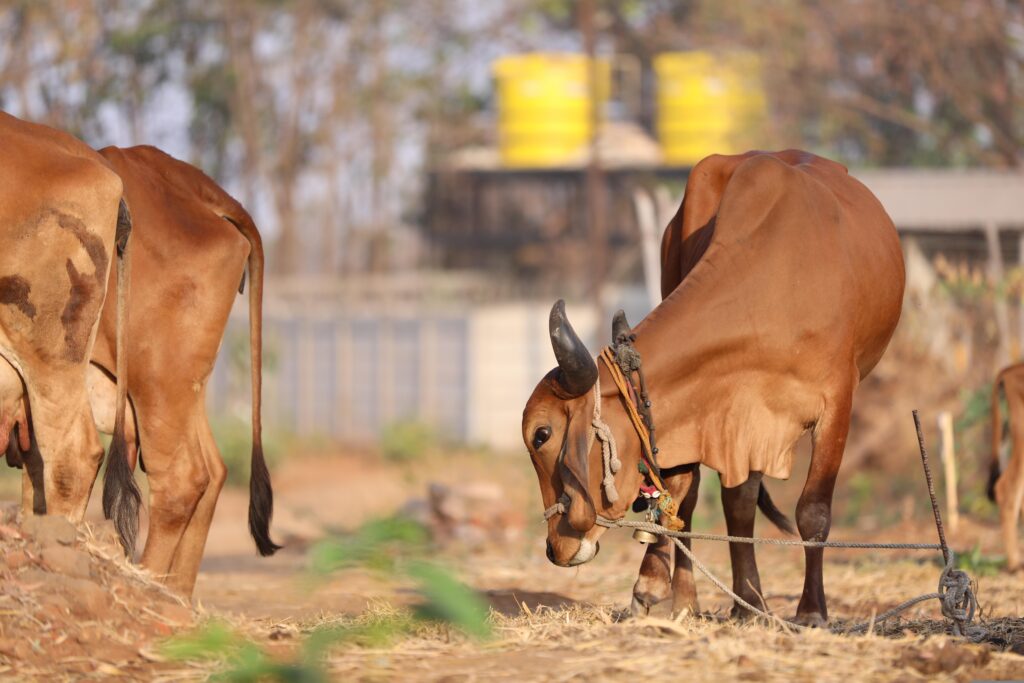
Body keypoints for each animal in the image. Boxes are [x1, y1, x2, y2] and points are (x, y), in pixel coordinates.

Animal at [522, 150, 905, 627]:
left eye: (542, 435)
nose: (554, 548)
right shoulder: (712, 410)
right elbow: (687, 496)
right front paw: (655, 586)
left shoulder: (834, 404)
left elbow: (813, 510)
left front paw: (812, 611)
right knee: (704, 497)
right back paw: (707, 599)